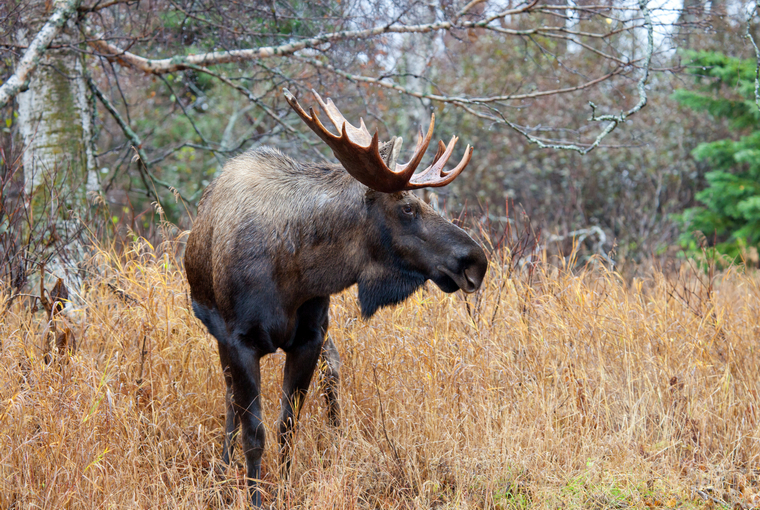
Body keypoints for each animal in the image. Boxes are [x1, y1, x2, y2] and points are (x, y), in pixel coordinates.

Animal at [187, 88, 490, 506]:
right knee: (231, 401)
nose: (476, 260)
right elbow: (255, 434)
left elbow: (287, 426)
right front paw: (255, 497)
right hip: (218, 333)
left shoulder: (309, 336)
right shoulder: (239, 339)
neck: (297, 274)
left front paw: (285, 491)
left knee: (330, 375)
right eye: (408, 207)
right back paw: (220, 474)